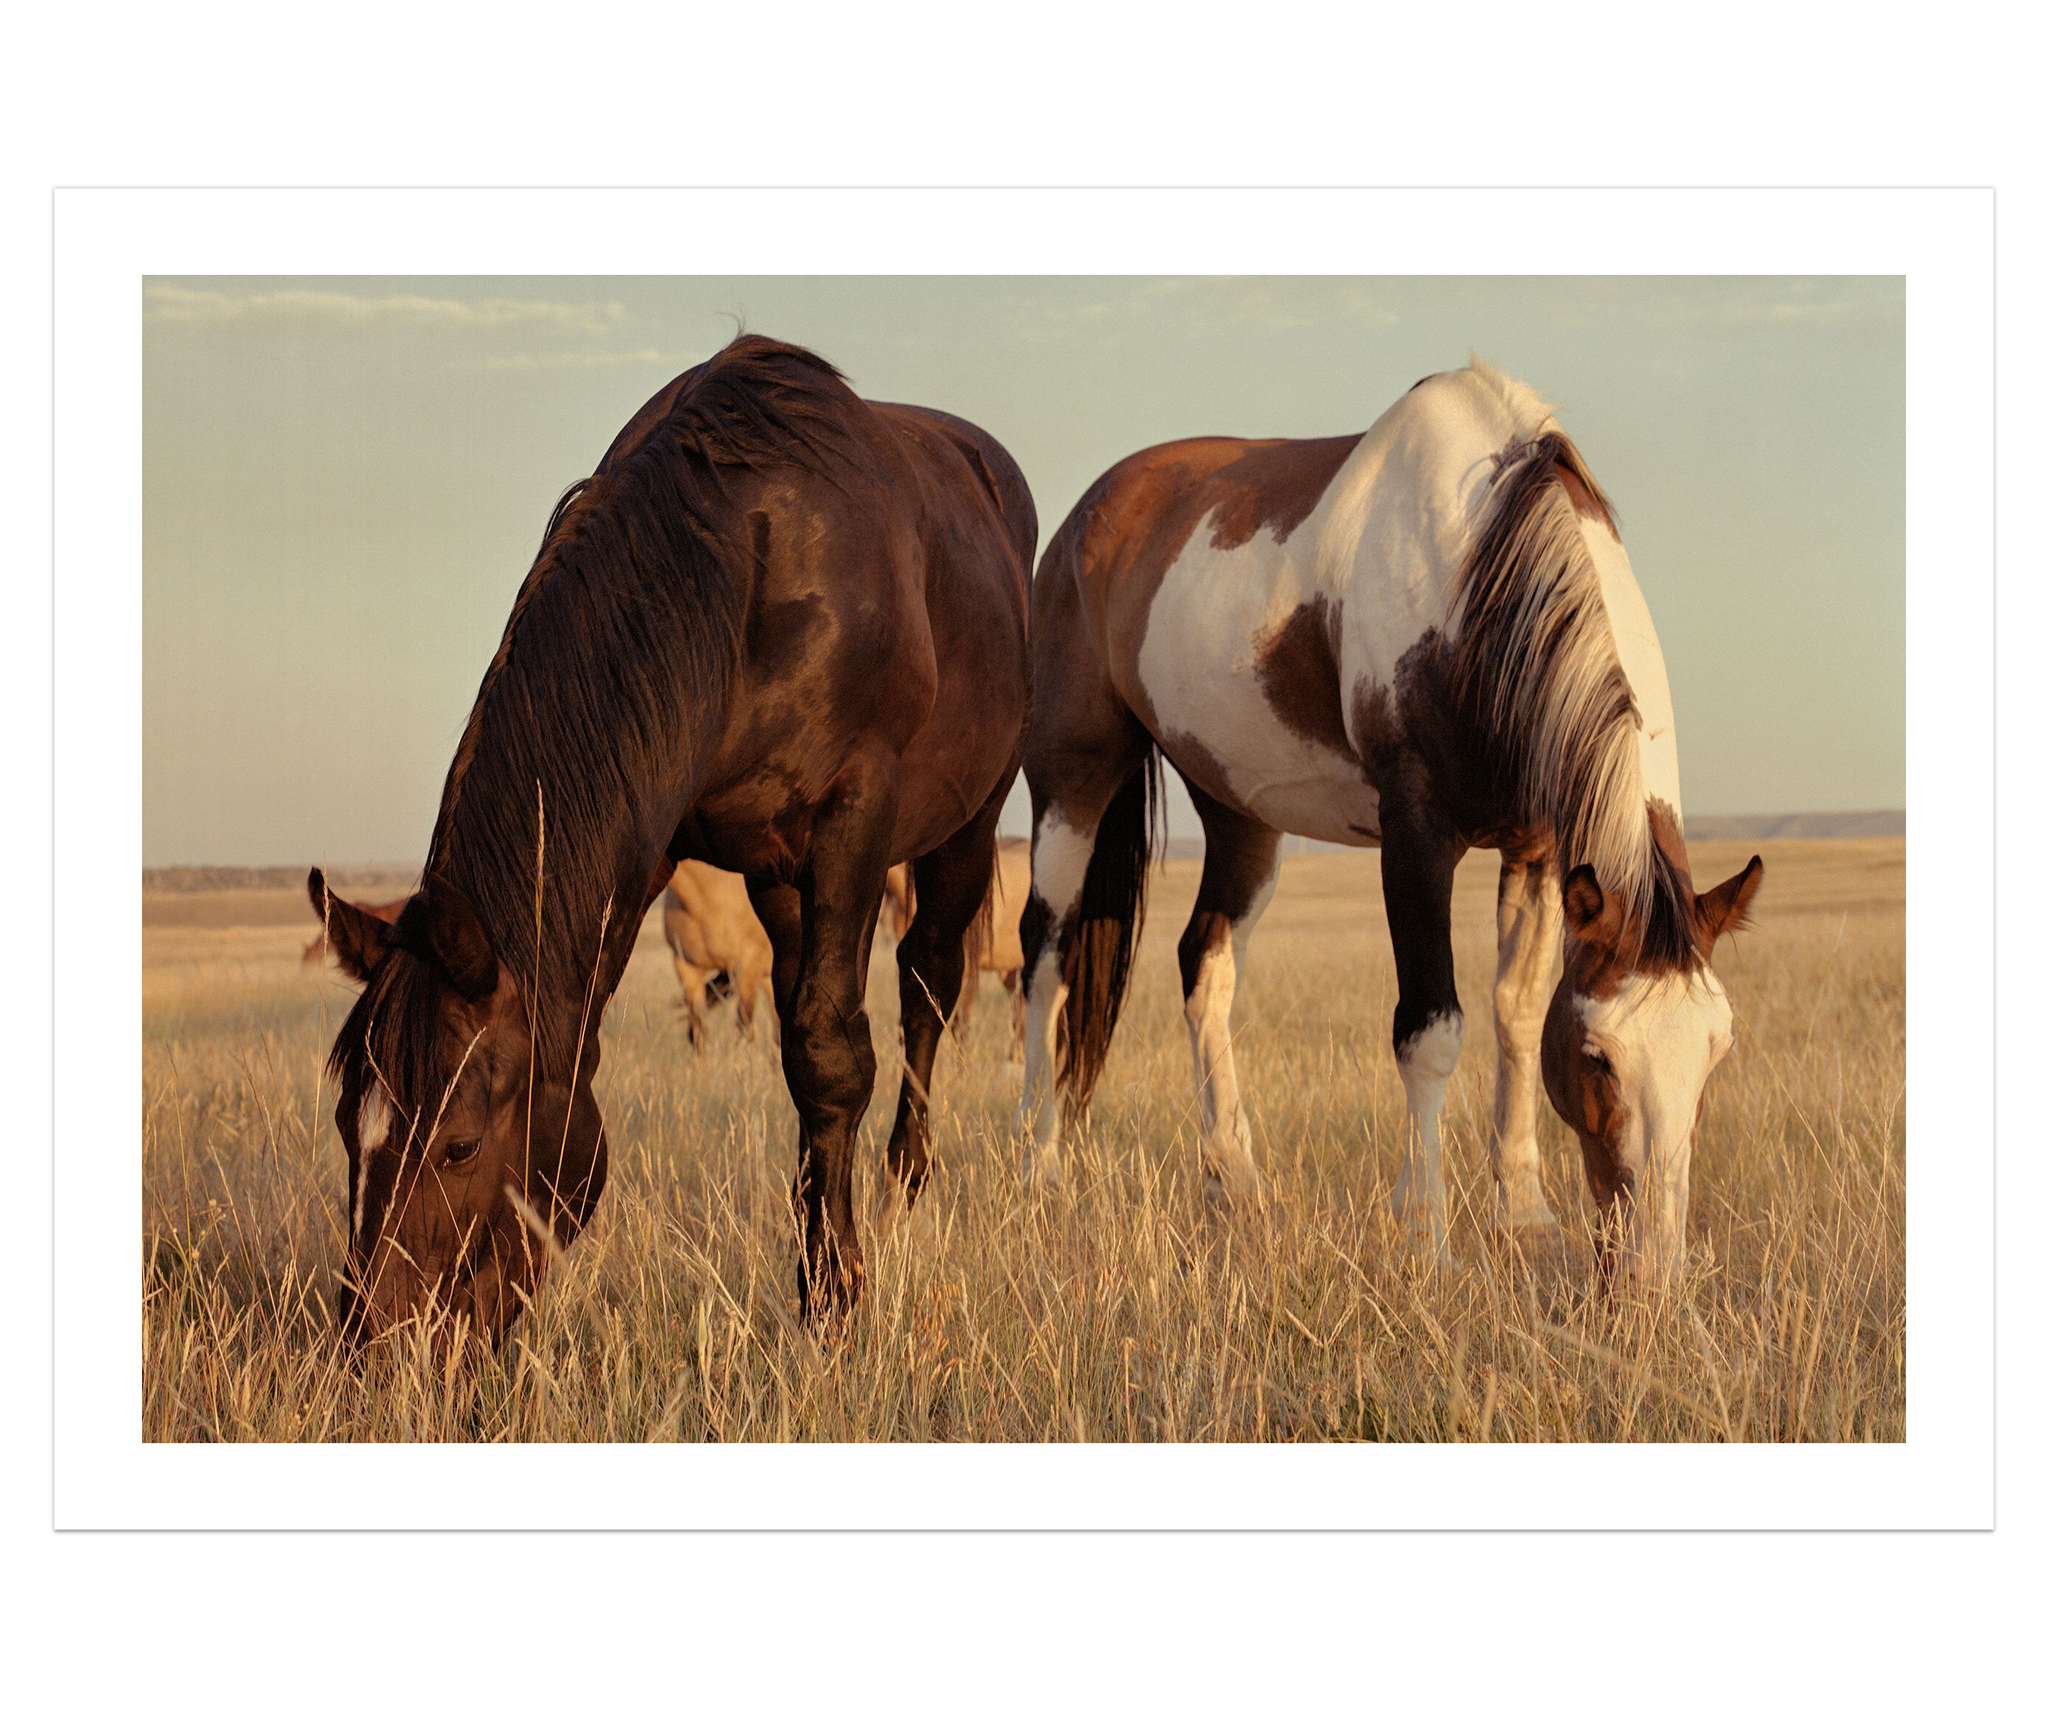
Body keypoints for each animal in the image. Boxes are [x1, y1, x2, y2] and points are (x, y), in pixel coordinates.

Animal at [1024, 362, 1761, 1294]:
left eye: (1716, 1052)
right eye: (1598, 1056)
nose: (1652, 1273)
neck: (1474, 573)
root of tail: (1087, 517)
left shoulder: (1538, 850)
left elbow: (1517, 1013)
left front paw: (1524, 1214)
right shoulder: (1416, 837)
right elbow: (1431, 1030)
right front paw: (1426, 1240)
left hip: (1239, 813)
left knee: (1205, 963)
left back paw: (1236, 1184)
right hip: (1071, 782)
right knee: (1045, 955)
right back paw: (1039, 1168)